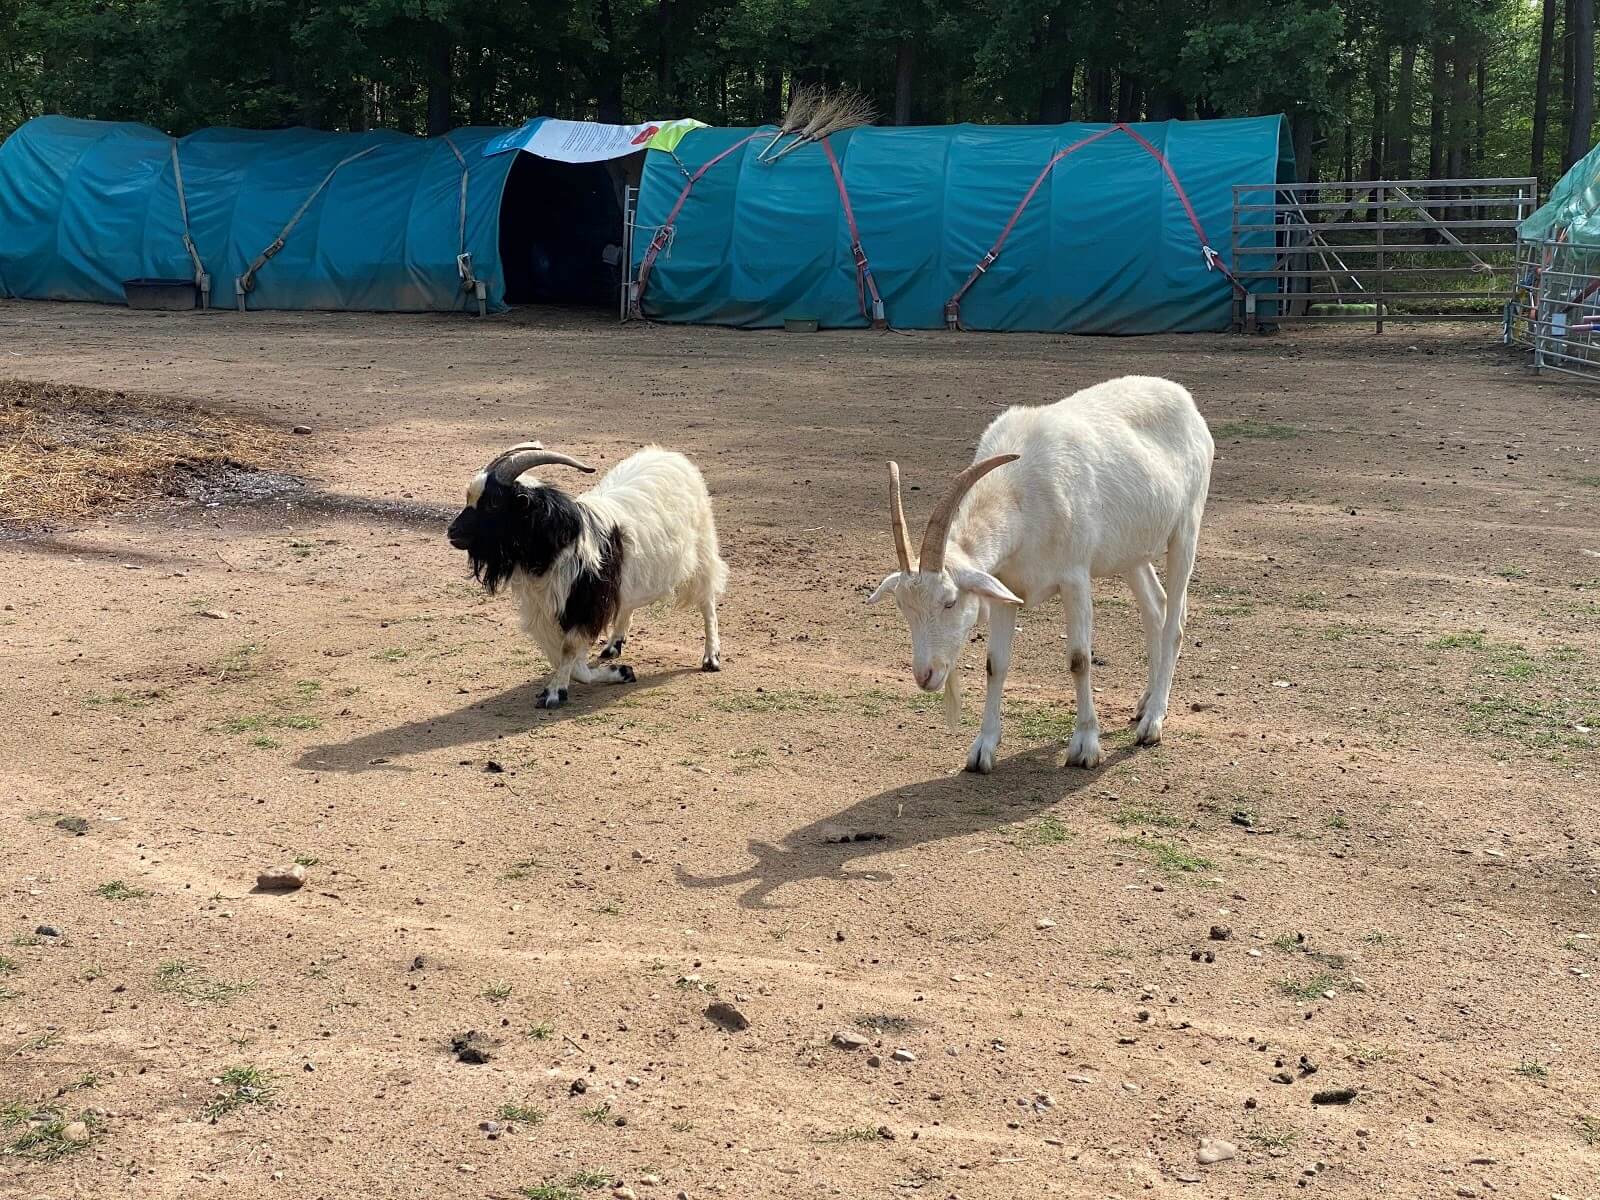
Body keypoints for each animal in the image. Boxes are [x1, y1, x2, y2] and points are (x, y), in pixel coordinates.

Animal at [448, 444, 729, 710]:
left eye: (493, 503)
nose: (452, 532)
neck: (560, 542)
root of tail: (672, 457)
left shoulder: (585, 605)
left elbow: (569, 650)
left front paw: (554, 693)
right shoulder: (546, 610)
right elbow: (571, 663)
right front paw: (620, 672)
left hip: (703, 551)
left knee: (708, 602)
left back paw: (711, 657)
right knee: (628, 605)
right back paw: (614, 645)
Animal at [876, 374, 1209, 771]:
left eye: (949, 602)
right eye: (903, 607)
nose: (925, 675)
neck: (1021, 490)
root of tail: (1184, 398)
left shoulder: (1075, 578)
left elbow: (1079, 659)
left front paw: (1085, 746)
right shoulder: (1004, 588)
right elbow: (995, 664)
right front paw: (982, 748)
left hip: (1185, 529)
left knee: (1175, 620)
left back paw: (1153, 721)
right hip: (1130, 553)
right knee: (1154, 607)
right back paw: (1145, 702)